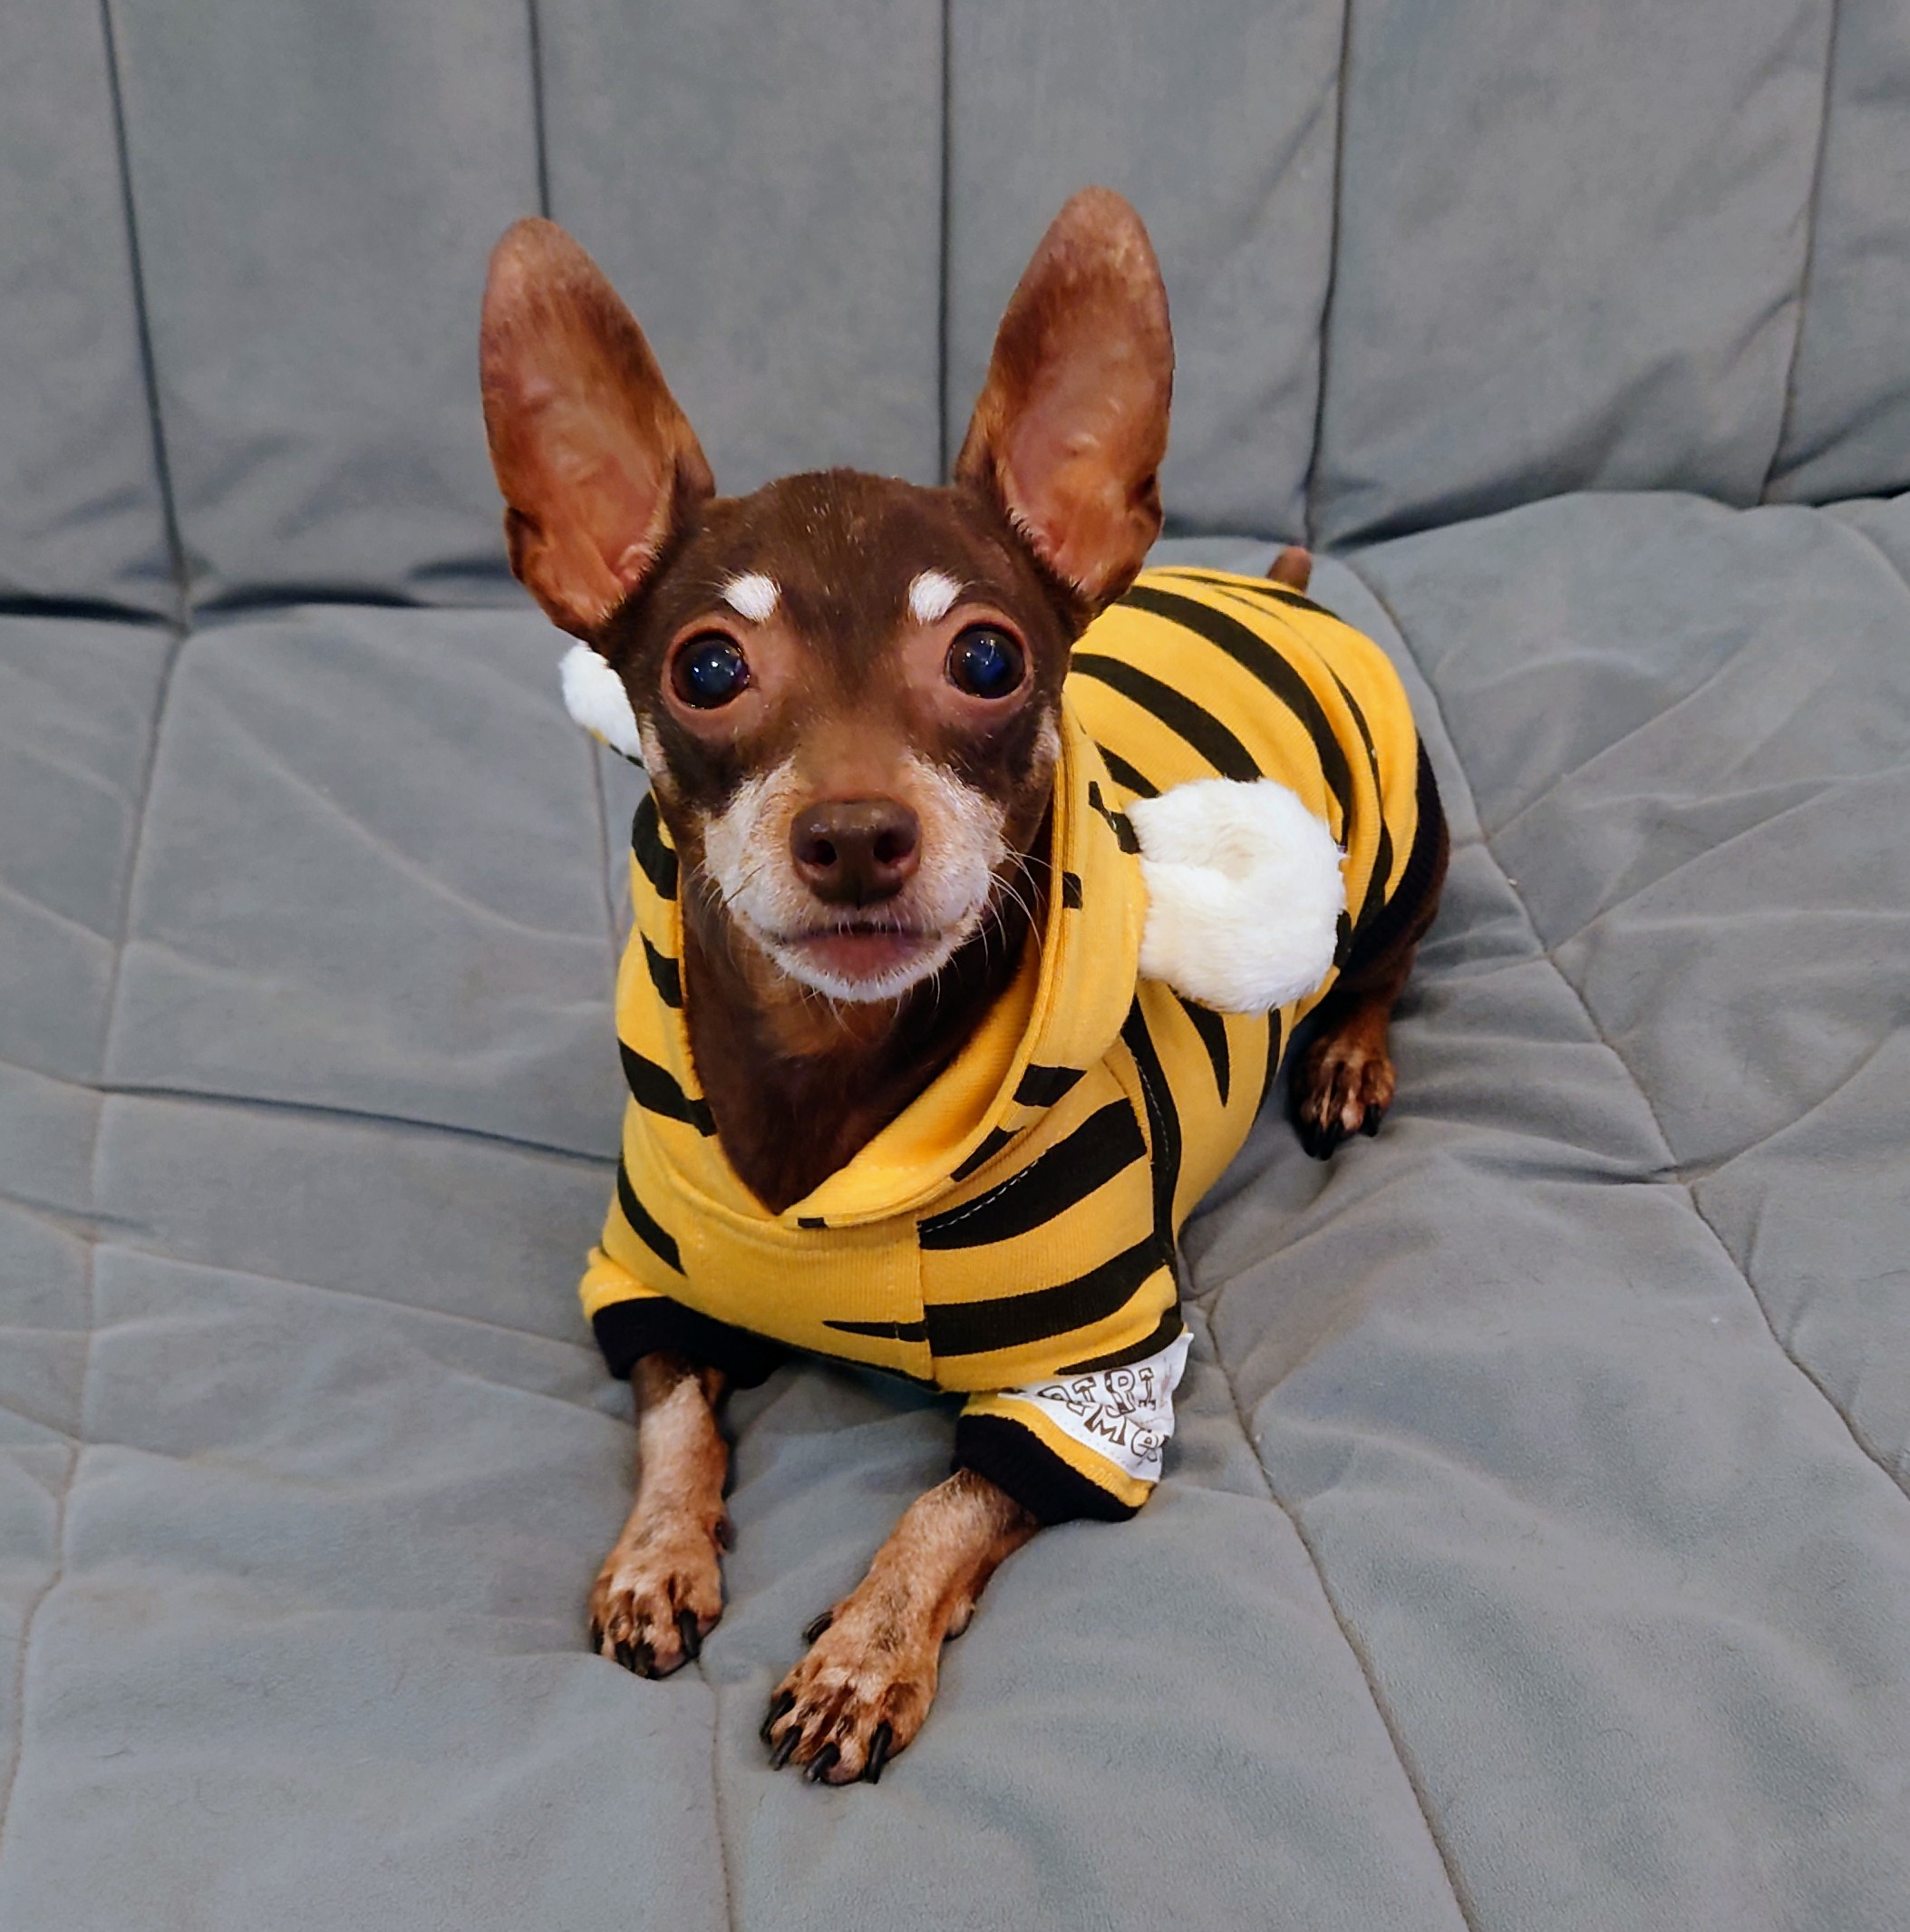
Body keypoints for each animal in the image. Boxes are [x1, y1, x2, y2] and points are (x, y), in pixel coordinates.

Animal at [478, 188, 1447, 1784]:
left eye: (987, 656)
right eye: (704, 668)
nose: (854, 833)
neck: (827, 1069)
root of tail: (1273, 586)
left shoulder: (1093, 1382)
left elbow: (945, 1506)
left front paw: (864, 1654)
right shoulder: (651, 1284)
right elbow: (675, 1428)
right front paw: (657, 1555)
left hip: (1402, 849)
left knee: (1382, 963)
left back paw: (1345, 1056)